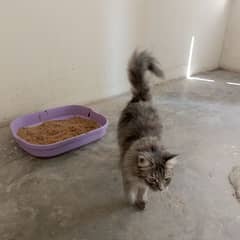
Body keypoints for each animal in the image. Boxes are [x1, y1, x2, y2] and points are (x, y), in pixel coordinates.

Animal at [117, 50, 177, 210]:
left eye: (166, 179)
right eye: (153, 179)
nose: (161, 189)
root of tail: (140, 99)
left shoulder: (142, 185)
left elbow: (142, 191)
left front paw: (141, 200)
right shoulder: (127, 177)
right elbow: (129, 191)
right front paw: (131, 201)